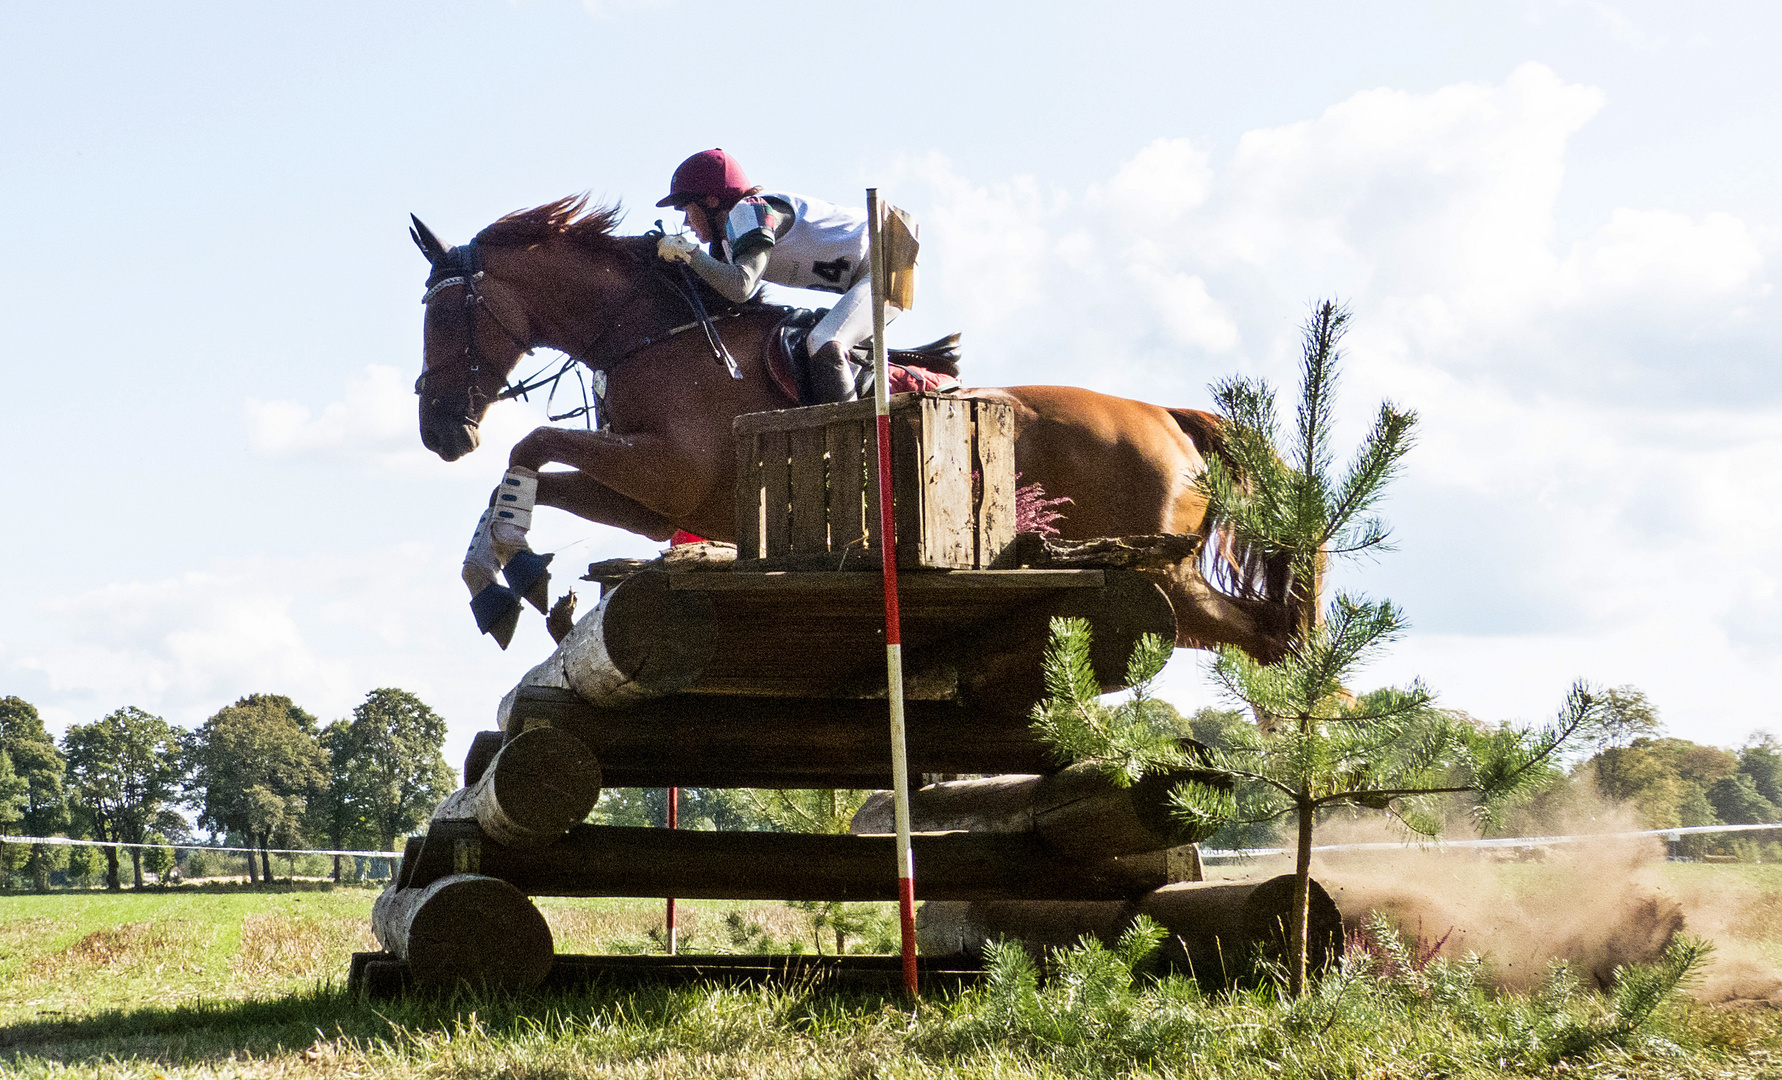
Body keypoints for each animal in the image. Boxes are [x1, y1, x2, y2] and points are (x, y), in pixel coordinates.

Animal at [416, 197, 1304, 662]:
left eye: (445, 316)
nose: (437, 433)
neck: (652, 333)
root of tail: (1168, 419)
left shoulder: (666, 471)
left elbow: (530, 446)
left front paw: (516, 577)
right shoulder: (653, 501)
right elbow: (528, 483)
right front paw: (508, 583)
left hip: (1162, 572)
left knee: (1267, 635)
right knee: (1266, 637)